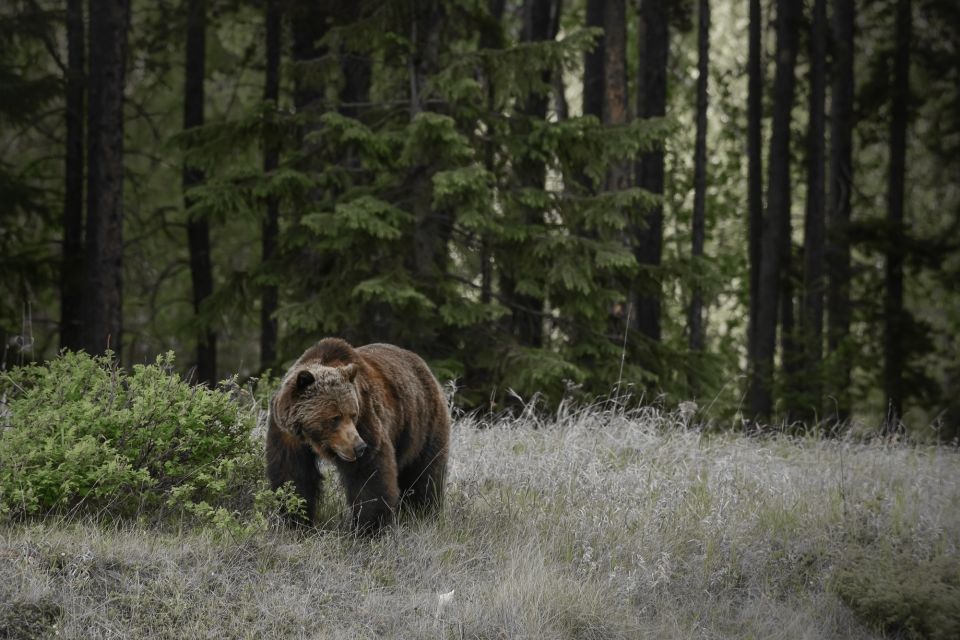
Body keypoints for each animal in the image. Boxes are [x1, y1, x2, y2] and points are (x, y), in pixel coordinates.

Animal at [266, 338, 450, 532]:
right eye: (335, 417)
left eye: (352, 414)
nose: (359, 447)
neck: (313, 439)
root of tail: (425, 367)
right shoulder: (286, 434)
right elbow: (292, 475)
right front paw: (294, 521)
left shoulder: (366, 419)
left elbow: (369, 474)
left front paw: (369, 527)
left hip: (422, 424)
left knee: (425, 473)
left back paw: (423, 512)